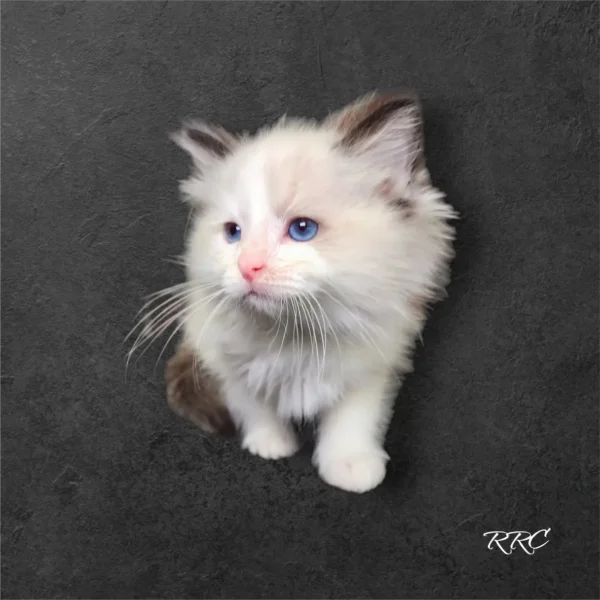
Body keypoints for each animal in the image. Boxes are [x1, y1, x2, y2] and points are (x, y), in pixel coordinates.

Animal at [154, 90, 454, 492]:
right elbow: (253, 404)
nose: (247, 266)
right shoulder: (223, 357)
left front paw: (350, 466)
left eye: (302, 229)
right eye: (233, 233)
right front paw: (270, 444)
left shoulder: (376, 357)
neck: (294, 336)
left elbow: (354, 415)